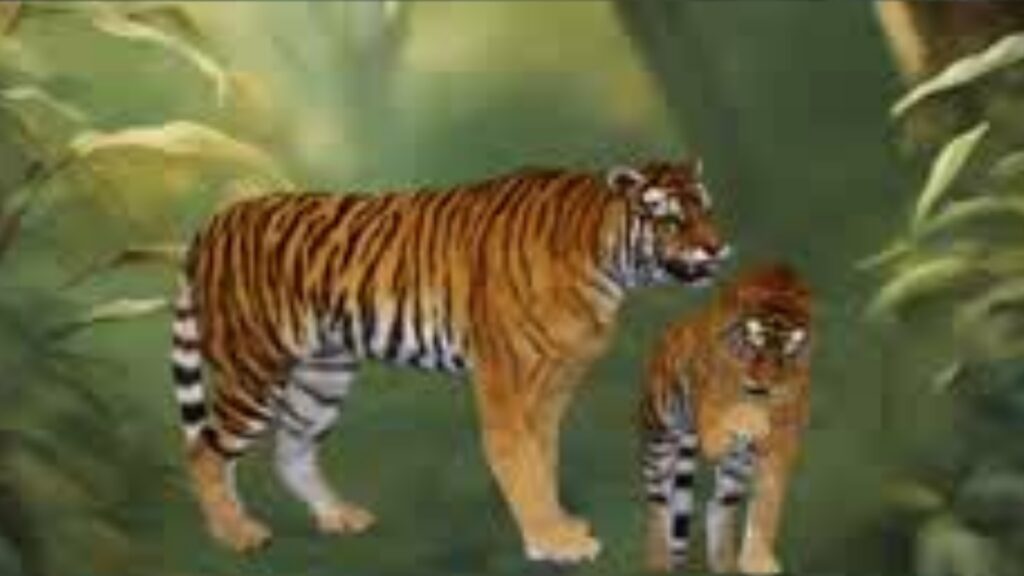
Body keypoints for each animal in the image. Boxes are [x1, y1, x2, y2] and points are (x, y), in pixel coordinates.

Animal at [170, 159, 730, 563]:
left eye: (707, 209)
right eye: (670, 218)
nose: (717, 249)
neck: (606, 265)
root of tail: (215, 222)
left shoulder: (553, 385)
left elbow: (544, 458)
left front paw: (559, 525)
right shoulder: (505, 382)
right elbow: (520, 462)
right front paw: (554, 543)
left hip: (322, 373)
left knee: (292, 449)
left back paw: (339, 516)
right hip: (252, 369)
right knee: (206, 451)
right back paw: (237, 533)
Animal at [639, 263, 812, 574]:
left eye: (785, 354)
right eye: (753, 343)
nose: (764, 383)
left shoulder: (782, 445)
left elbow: (767, 503)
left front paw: (757, 560)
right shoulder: (711, 421)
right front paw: (749, 416)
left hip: (736, 468)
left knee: (717, 507)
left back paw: (725, 563)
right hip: (660, 433)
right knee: (659, 499)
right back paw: (658, 560)